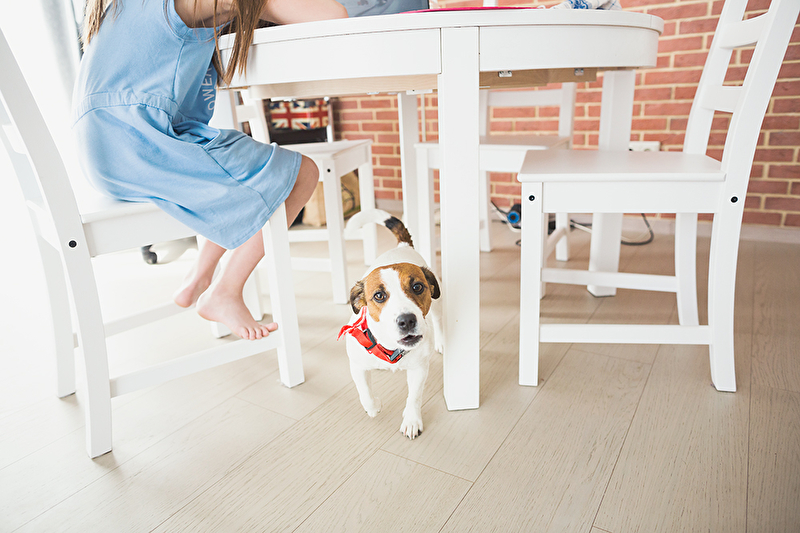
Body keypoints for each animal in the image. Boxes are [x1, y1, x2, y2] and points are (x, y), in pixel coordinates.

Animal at [338, 209, 442, 439]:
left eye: (417, 286)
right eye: (379, 295)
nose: (407, 320)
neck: (392, 350)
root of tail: (402, 246)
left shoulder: (419, 369)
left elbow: (414, 397)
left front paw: (411, 420)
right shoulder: (356, 366)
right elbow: (364, 392)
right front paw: (373, 406)